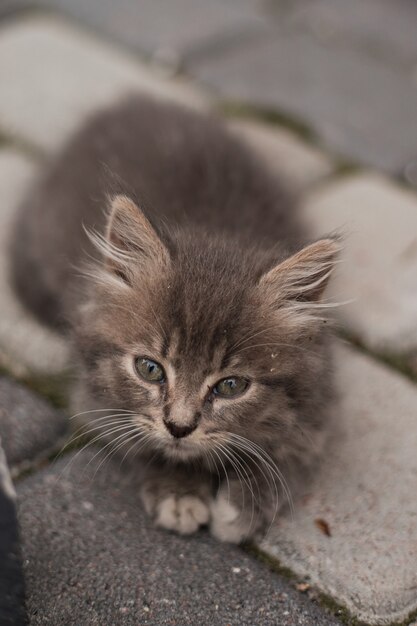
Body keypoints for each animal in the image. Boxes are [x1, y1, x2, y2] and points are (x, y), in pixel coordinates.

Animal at [9, 94, 340, 540]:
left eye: (231, 386)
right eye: (149, 369)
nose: (179, 427)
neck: (217, 231)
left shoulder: (319, 406)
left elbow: (290, 457)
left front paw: (243, 506)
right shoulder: (94, 402)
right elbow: (142, 444)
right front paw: (179, 492)